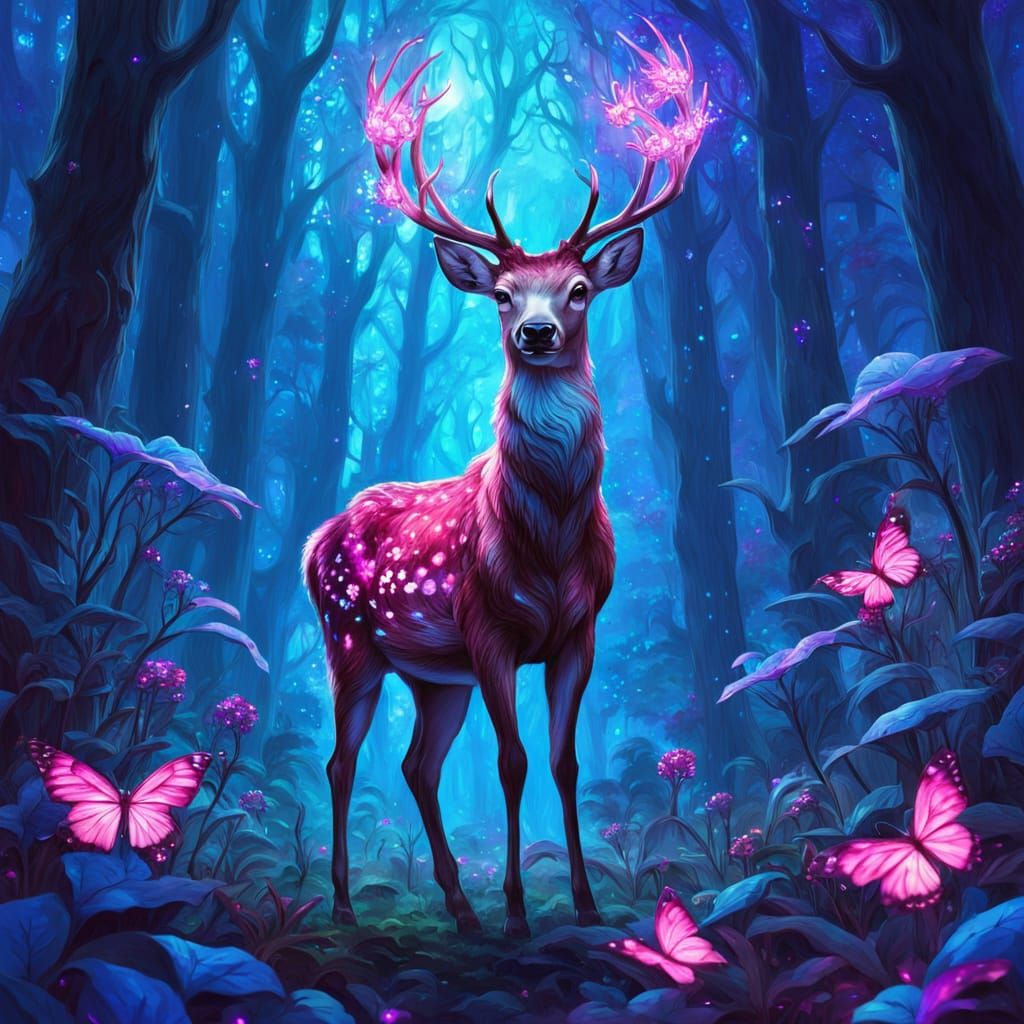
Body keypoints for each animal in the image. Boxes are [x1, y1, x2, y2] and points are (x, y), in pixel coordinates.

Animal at [304, 21, 707, 937]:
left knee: (416, 765)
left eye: (581, 288)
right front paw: (522, 911)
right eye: (500, 293)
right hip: (350, 639)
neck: (546, 538)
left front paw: (586, 905)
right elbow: (514, 762)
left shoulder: (579, 632)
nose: (536, 330)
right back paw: (344, 903)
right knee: (343, 761)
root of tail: (316, 537)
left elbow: (562, 762)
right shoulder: (487, 628)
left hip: (432, 673)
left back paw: (459, 905)